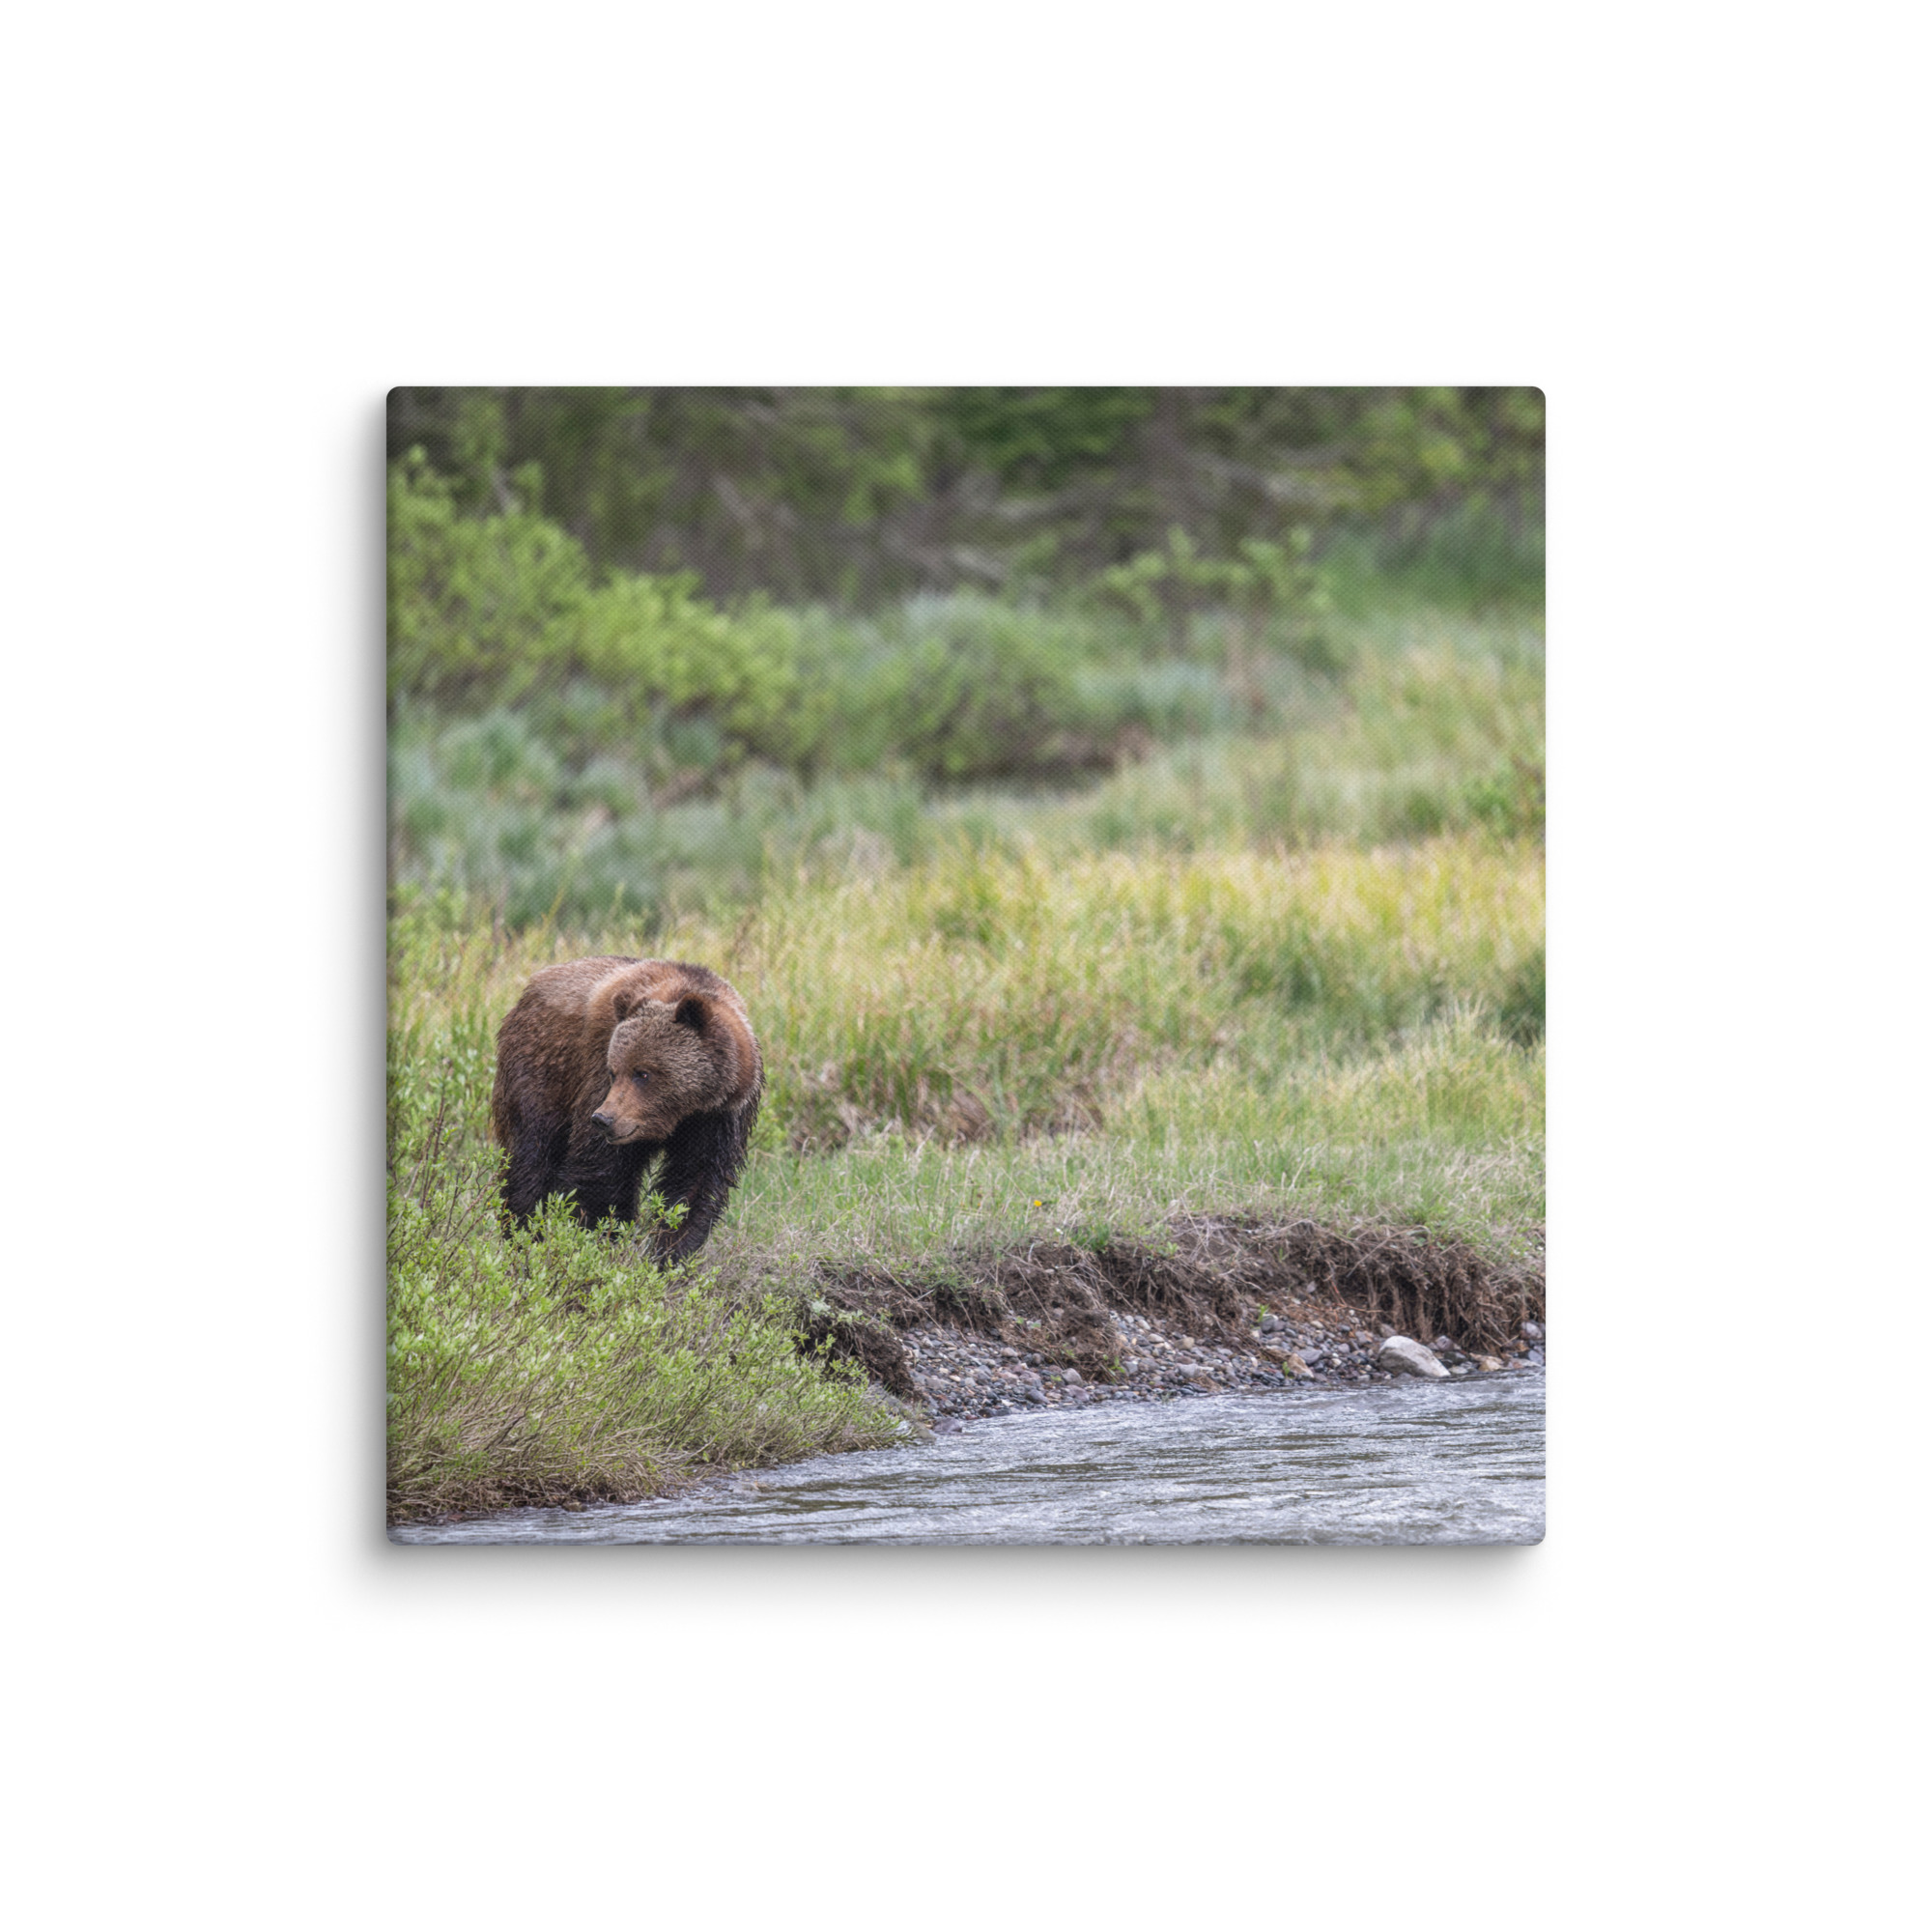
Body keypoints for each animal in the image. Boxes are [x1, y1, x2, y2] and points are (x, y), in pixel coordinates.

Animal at [490, 956, 762, 1260]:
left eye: (643, 1073)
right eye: (614, 1071)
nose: (603, 1119)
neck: (682, 1112)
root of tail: (531, 986)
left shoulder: (719, 1118)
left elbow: (695, 1183)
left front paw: (669, 1253)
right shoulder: (597, 1076)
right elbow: (601, 1172)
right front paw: (597, 1240)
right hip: (542, 1071)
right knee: (532, 1156)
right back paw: (523, 1236)